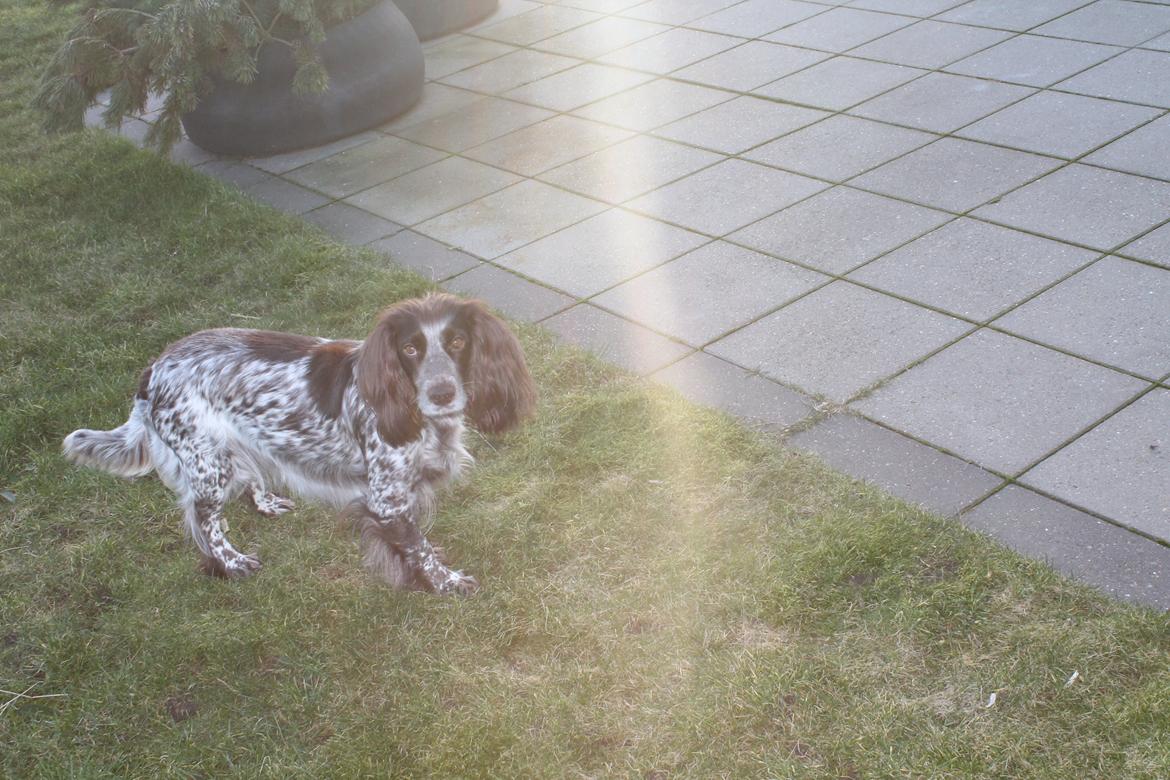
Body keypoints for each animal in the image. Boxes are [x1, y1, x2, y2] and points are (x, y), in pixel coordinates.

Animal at [62, 295, 535, 594]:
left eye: (457, 341)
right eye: (410, 349)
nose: (441, 393)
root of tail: (154, 368)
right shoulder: (386, 498)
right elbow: (417, 547)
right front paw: (444, 582)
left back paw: (267, 502)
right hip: (208, 462)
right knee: (204, 519)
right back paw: (231, 562)